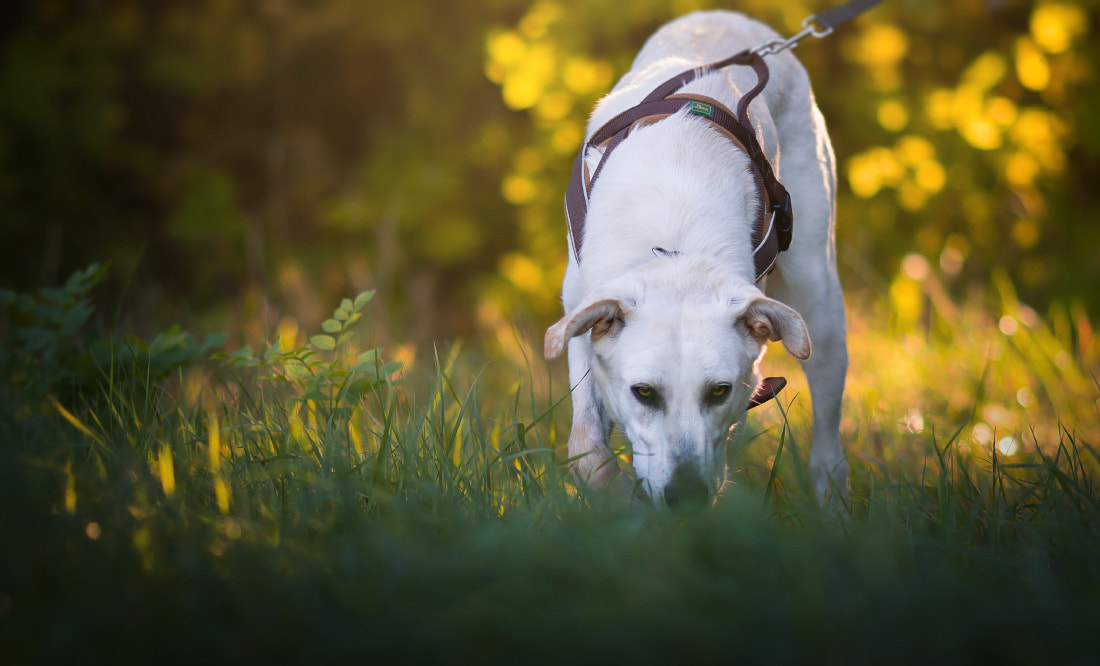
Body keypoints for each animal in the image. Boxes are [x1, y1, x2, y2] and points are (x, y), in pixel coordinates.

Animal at [543, 9, 849, 508]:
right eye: (644, 392)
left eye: (718, 391)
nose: (685, 496)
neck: (673, 250)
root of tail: (728, 16)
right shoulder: (580, 316)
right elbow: (587, 452)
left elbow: (729, 437)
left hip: (818, 299)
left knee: (827, 427)